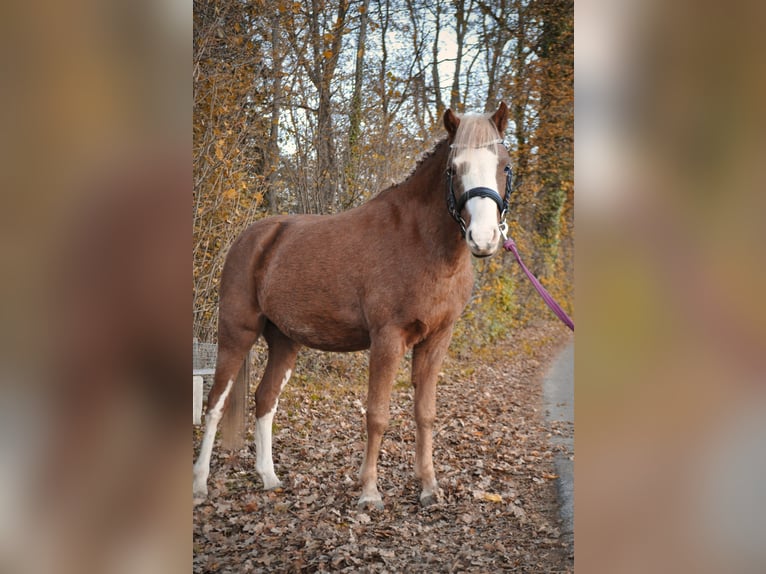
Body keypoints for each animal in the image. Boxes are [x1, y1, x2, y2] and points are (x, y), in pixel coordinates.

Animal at [195, 103, 512, 508]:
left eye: (503, 165)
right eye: (453, 169)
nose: (483, 239)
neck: (421, 243)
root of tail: (252, 238)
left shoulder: (436, 340)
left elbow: (425, 414)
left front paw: (428, 487)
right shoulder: (387, 340)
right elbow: (377, 415)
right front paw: (370, 492)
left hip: (284, 340)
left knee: (265, 399)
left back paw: (269, 478)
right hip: (236, 334)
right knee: (215, 404)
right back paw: (199, 484)